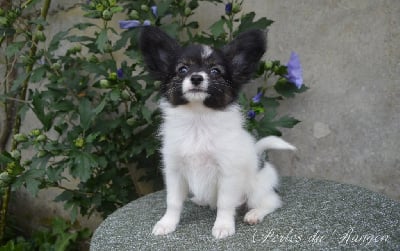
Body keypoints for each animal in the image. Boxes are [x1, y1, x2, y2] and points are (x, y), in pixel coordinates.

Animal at [139, 26, 296, 238]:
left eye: (215, 71)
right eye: (182, 69)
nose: (196, 77)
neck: (198, 119)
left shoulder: (227, 173)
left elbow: (225, 203)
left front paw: (223, 226)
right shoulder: (174, 171)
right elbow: (173, 202)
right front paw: (167, 223)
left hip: (256, 189)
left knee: (271, 202)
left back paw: (254, 214)